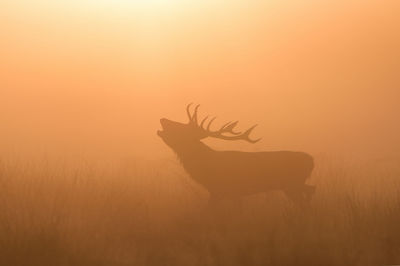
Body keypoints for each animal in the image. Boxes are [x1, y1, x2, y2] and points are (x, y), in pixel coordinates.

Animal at [157, 103, 316, 206]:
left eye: (181, 129)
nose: (162, 118)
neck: (206, 167)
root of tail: (311, 160)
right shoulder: (221, 192)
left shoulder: (227, 190)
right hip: (294, 185)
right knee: (311, 190)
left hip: (292, 183)